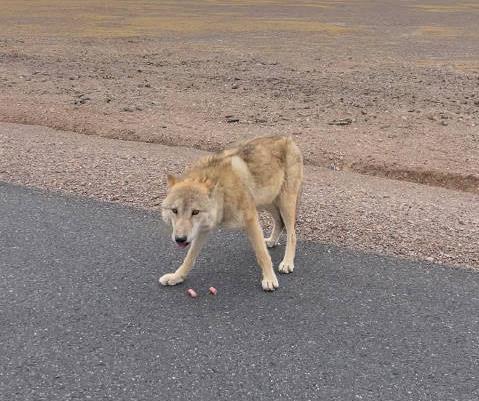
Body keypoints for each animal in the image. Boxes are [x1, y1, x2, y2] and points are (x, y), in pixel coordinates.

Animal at [160, 134, 304, 290]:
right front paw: (176, 277)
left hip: (285, 202)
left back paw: (287, 262)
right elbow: (189, 257)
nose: (180, 239)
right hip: (267, 201)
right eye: (175, 210)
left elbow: (262, 254)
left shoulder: (250, 218)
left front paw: (269, 279)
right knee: (279, 222)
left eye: (195, 212)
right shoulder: (204, 228)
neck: (222, 193)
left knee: (292, 234)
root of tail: (287, 138)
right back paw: (271, 241)